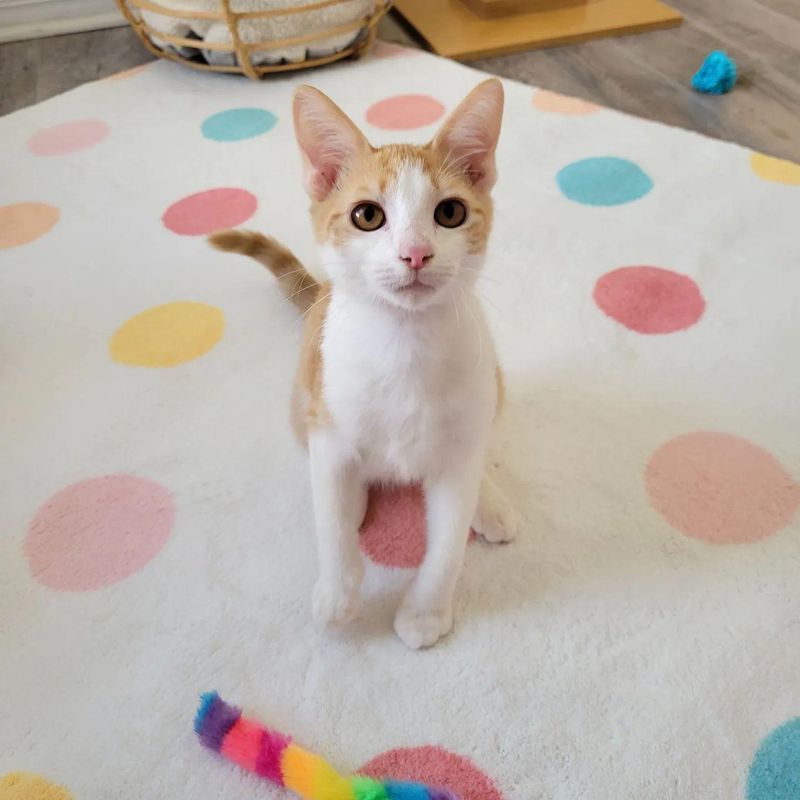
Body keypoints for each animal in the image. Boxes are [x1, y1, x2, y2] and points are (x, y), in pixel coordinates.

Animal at [209, 78, 516, 648]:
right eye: (367, 216)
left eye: (450, 213)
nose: (415, 254)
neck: (405, 346)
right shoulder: (328, 423)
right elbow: (330, 520)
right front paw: (337, 596)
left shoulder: (460, 438)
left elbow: (447, 543)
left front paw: (425, 613)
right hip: (303, 395)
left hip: (490, 386)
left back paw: (489, 502)